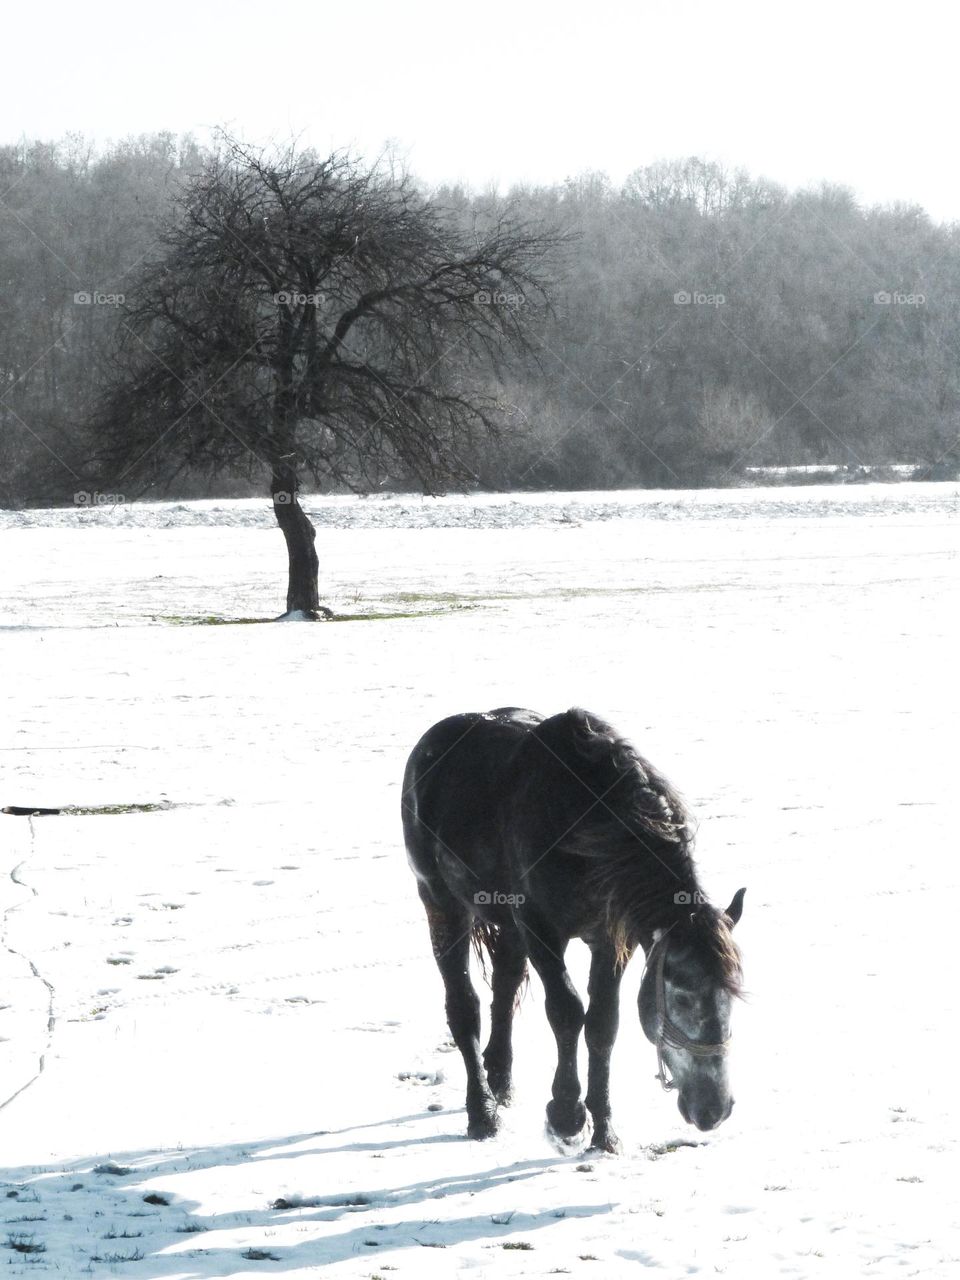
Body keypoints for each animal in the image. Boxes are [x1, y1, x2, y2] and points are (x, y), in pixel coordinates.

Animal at [401, 706, 745, 1153]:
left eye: (732, 996)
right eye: (682, 996)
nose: (714, 1110)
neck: (584, 822)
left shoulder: (611, 938)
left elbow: (603, 1022)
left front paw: (604, 1130)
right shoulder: (540, 929)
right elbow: (566, 1011)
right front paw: (566, 1115)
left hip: (506, 927)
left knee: (504, 990)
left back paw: (501, 1081)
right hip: (441, 903)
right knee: (464, 1006)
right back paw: (483, 1113)